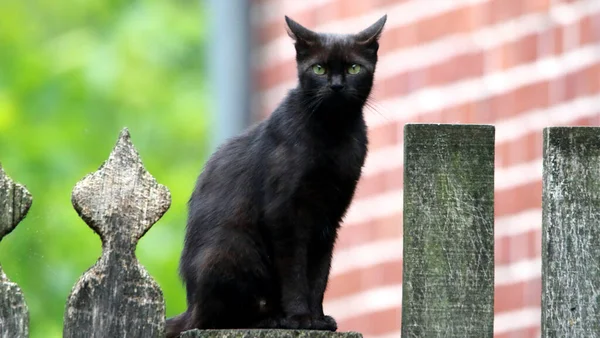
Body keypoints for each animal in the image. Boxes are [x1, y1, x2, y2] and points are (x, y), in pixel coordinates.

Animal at [166, 13, 386, 338]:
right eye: (319, 68)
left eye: (354, 68)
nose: (336, 86)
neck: (333, 132)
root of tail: (190, 306)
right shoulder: (284, 214)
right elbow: (294, 273)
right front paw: (299, 318)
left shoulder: (328, 219)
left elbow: (318, 274)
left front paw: (318, 319)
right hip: (232, 249)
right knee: (220, 317)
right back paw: (272, 319)